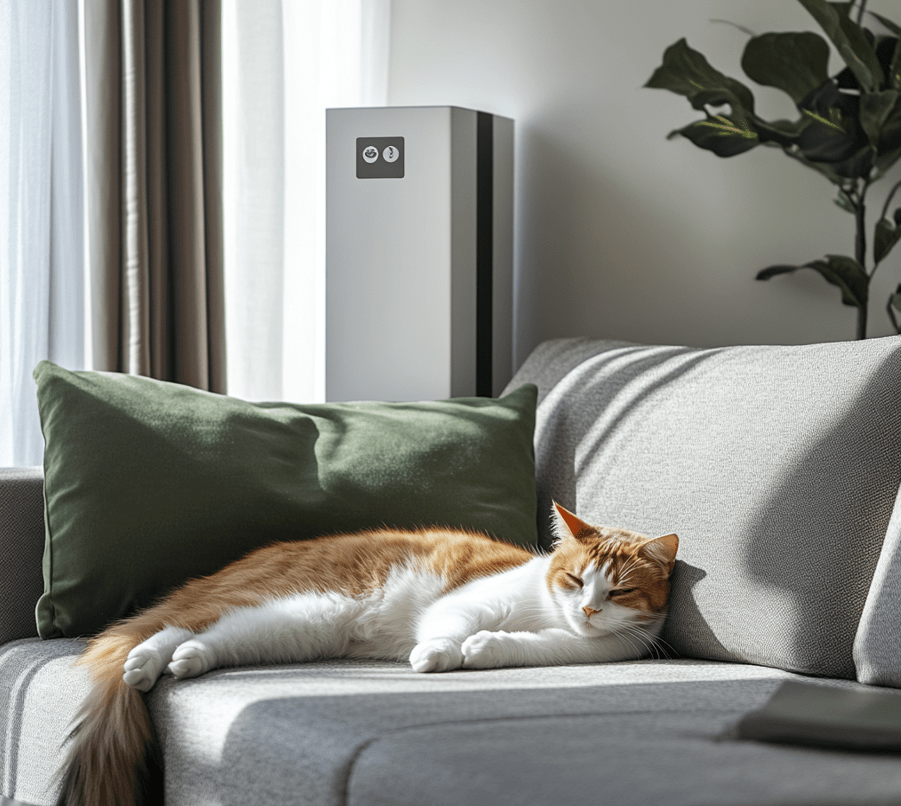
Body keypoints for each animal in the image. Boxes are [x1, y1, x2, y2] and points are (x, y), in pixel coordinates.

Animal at [56, 504, 676, 806]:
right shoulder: (465, 602)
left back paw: (181, 662)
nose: (588, 609)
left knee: (199, 639)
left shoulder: (572, 647)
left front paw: (482, 650)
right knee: (173, 626)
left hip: (298, 625)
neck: (548, 614)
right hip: (296, 602)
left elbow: (510, 647)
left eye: (618, 592)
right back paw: (147, 662)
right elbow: (445, 628)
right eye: (574, 578)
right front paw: (437, 655)